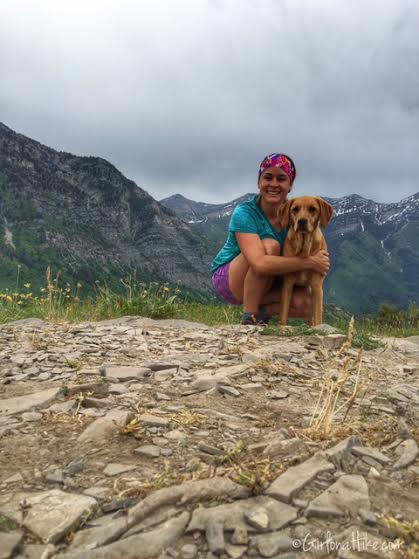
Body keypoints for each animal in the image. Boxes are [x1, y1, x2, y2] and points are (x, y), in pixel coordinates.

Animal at [278, 197, 334, 328]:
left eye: (313, 209)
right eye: (295, 209)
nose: (302, 221)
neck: (304, 250)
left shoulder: (317, 286)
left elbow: (317, 317)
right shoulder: (287, 284)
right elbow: (283, 315)